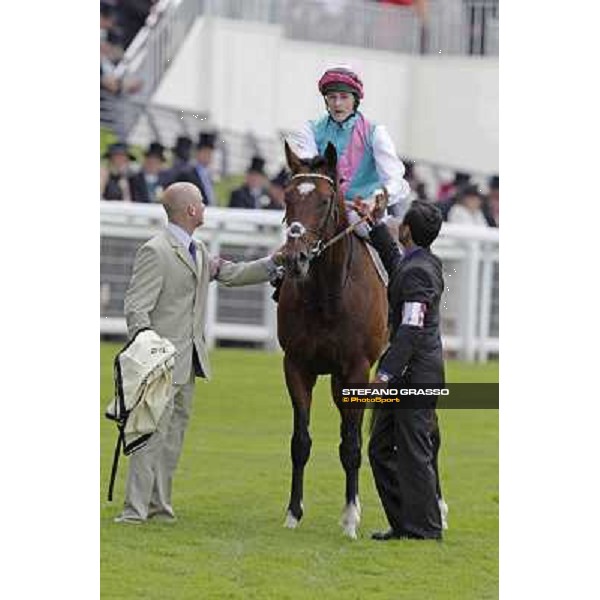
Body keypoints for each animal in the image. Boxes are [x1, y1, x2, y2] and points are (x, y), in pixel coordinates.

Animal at [278, 142, 390, 540]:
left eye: (325, 201)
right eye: (287, 197)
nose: (294, 258)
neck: (328, 296)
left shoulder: (357, 370)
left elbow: (352, 445)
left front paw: (350, 517)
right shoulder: (296, 365)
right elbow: (300, 442)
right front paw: (293, 513)